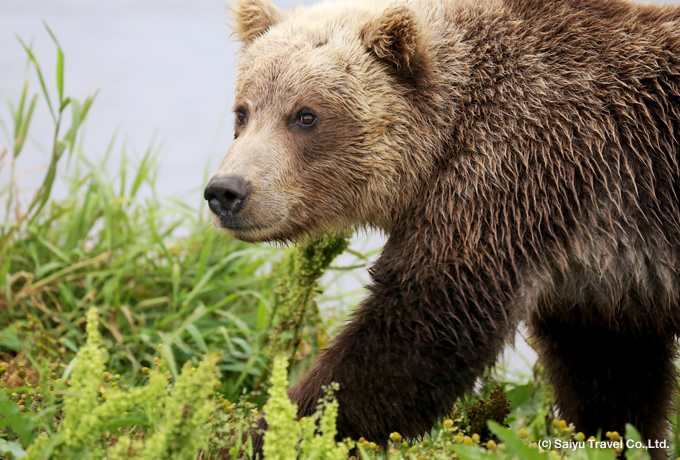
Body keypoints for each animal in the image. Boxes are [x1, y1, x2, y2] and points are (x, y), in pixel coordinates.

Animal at [206, 0, 680, 454]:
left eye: (306, 115)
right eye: (243, 112)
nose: (226, 191)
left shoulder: (516, 174)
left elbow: (420, 331)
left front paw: (266, 433)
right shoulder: (598, 279)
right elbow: (608, 373)